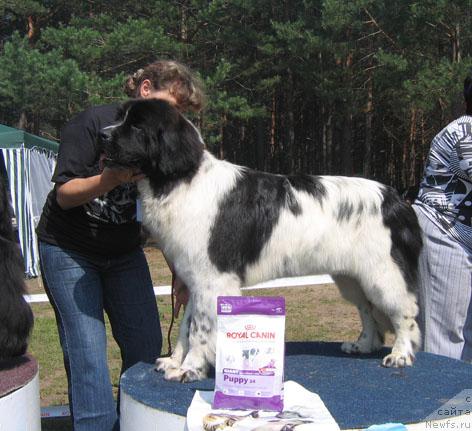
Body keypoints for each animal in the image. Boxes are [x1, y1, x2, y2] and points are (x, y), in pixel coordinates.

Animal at [101, 99, 422, 384]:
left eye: (137, 125)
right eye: (120, 117)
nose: (102, 134)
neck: (183, 179)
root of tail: (397, 199)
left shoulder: (212, 278)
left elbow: (200, 328)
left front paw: (189, 369)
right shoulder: (195, 277)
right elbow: (187, 324)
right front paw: (175, 361)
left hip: (384, 273)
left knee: (404, 311)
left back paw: (400, 354)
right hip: (351, 277)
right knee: (367, 309)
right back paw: (363, 344)